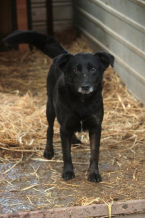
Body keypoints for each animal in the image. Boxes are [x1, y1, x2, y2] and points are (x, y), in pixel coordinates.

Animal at [3, 31, 114, 182]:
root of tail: (64, 54)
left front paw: (94, 173)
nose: (85, 86)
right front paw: (68, 171)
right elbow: (66, 153)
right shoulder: (65, 127)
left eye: (93, 69)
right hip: (50, 108)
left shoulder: (96, 127)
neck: (82, 101)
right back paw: (49, 150)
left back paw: (74, 139)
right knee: (49, 129)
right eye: (75, 69)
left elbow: (94, 153)